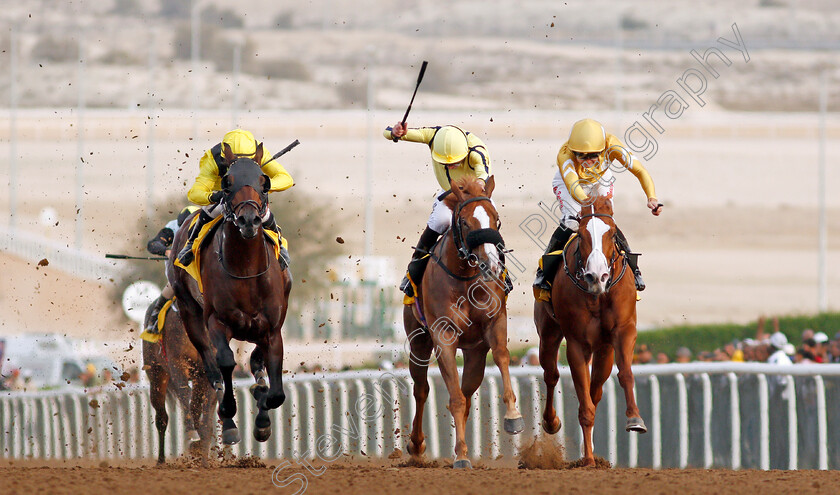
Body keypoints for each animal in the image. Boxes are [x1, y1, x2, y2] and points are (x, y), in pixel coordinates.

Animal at [142, 298, 215, 464]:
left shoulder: (207, 372)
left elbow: (205, 410)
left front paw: (203, 454)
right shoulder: (177, 365)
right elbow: (184, 394)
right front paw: (191, 433)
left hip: (197, 379)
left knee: (195, 407)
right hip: (156, 376)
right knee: (162, 418)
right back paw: (161, 460)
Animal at [167, 142, 292, 446]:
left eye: (263, 181)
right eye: (227, 183)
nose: (249, 220)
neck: (245, 269)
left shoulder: (272, 329)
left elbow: (276, 392)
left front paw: (262, 416)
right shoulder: (217, 321)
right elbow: (224, 362)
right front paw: (229, 416)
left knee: (255, 362)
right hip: (189, 310)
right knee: (212, 368)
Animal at [404, 177, 520, 468]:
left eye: (497, 220)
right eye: (466, 222)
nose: (491, 265)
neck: (465, 278)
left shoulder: (494, 323)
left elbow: (502, 356)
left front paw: (513, 415)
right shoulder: (443, 336)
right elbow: (453, 398)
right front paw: (461, 456)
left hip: (475, 353)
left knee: (467, 395)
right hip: (418, 343)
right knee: (421, 390)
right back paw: (417, 445)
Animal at [536, 196, 648, 466]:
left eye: (612, 233)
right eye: (582, 234)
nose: (597, 276)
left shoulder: (623, 331)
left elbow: (625, 373)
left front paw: (634, 419)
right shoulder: (577, 342)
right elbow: (583, 402)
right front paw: (587, 460)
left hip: (603, 349)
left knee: (595, 390)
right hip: (548, 333)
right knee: (551, 374)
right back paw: (551, 422)